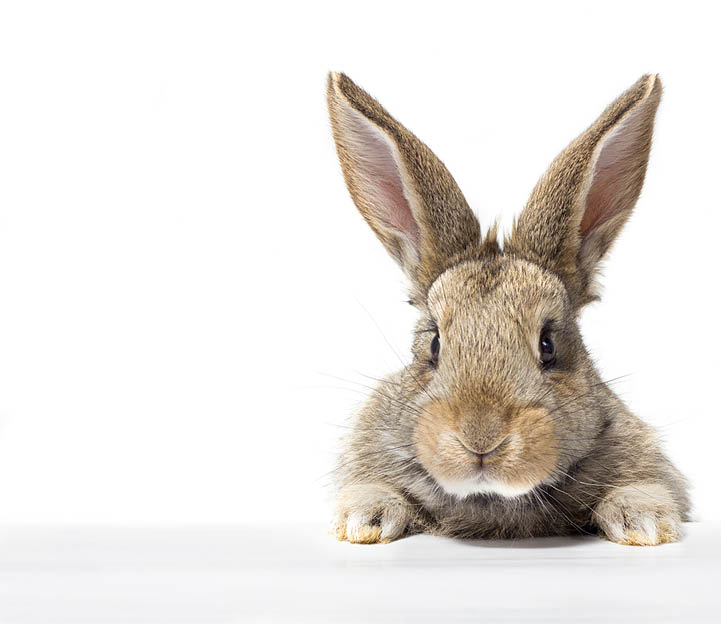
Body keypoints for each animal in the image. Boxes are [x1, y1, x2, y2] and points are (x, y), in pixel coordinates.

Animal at [326, 71, 690, 546]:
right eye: (434, 344)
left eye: (549, 344)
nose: (481, 439)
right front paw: (364, 519)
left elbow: (646, 488)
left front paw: (643, 523)